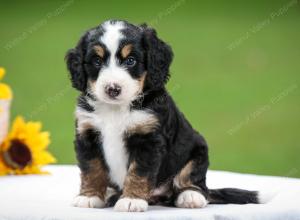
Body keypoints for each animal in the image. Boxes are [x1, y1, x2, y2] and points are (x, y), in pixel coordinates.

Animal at [65, 20, 262, 211]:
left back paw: (190, 196)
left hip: (197, 150)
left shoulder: (148, 140)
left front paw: (131, 200)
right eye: (97, 61)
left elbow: (138, 172)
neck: (116, 109)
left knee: (195, 183)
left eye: (130, 61)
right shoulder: (87, 134)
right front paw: (89, 197)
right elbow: (92, 169)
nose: (112, 89)